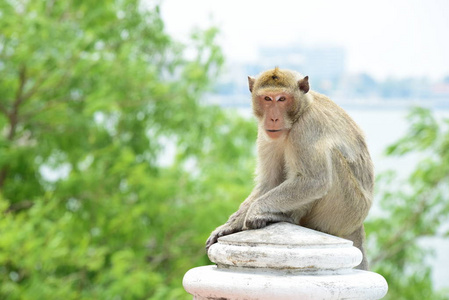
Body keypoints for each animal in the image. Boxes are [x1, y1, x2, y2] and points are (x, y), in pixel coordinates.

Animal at [205, 67, 372, 270]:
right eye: (267, 98)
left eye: (282, 99)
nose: (273, 118)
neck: (300, 111)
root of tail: (358, 223)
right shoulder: (265, 133)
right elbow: (270, 181)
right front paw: (231, 225)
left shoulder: (307, 128)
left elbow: (314, 181)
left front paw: (255, 210)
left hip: (347, 208)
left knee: (328, 161)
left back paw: (285, 217)